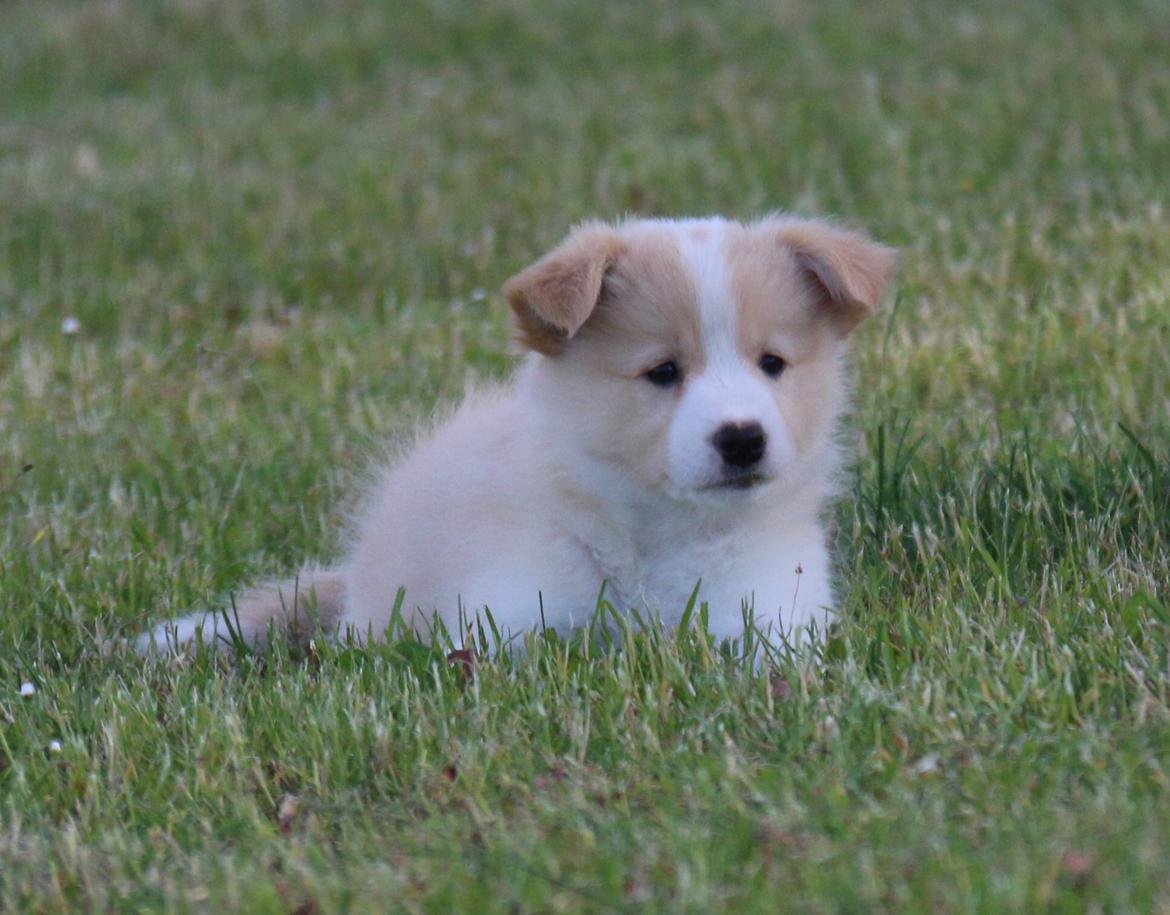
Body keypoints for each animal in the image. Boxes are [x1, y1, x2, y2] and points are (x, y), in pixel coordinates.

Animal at [143, 215, 893, 659]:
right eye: (663, 372)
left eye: (773, 363)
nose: (741, 439)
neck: (655, 537)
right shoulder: (508, 616)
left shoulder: (771, 612)